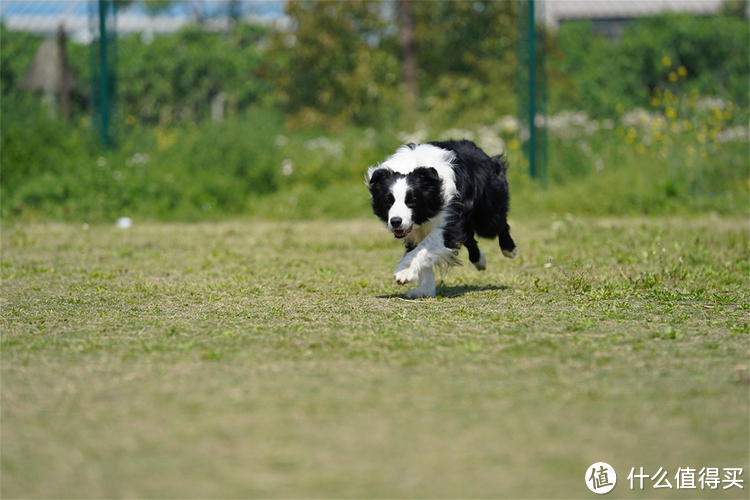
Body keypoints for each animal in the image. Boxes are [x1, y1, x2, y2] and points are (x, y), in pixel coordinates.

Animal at [368, 139, 516, 298]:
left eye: (412, 200)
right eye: (388, 201)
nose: (395, 221)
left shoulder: (448, 216)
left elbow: (426, 245)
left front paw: (404, 271)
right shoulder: (416, 229)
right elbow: (420, 248)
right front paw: (424, 290)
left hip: (486, 212)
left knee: (497, 224)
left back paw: (509, 249)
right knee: (468, 236)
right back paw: (480, 261)